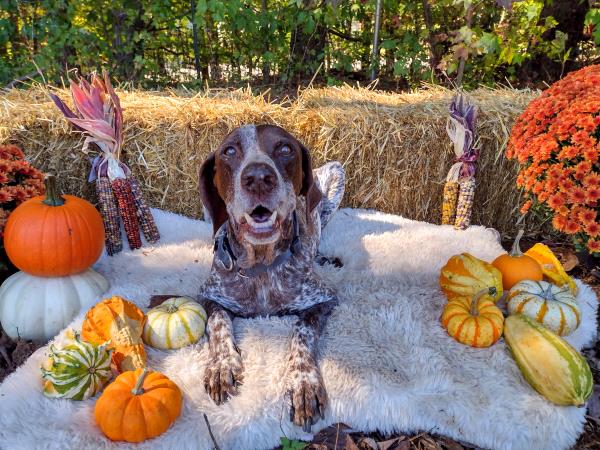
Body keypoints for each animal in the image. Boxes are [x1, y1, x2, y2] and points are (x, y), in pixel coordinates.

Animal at [199, 124, 344, 432]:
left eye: (285, 148)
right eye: (229, 151)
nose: (257, 178)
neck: (261, 266)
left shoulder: (324, 300)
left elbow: (302, 332)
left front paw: (303, 383)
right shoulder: (207, 295)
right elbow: (218, 321)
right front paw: (222, 364)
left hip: (335, 175)